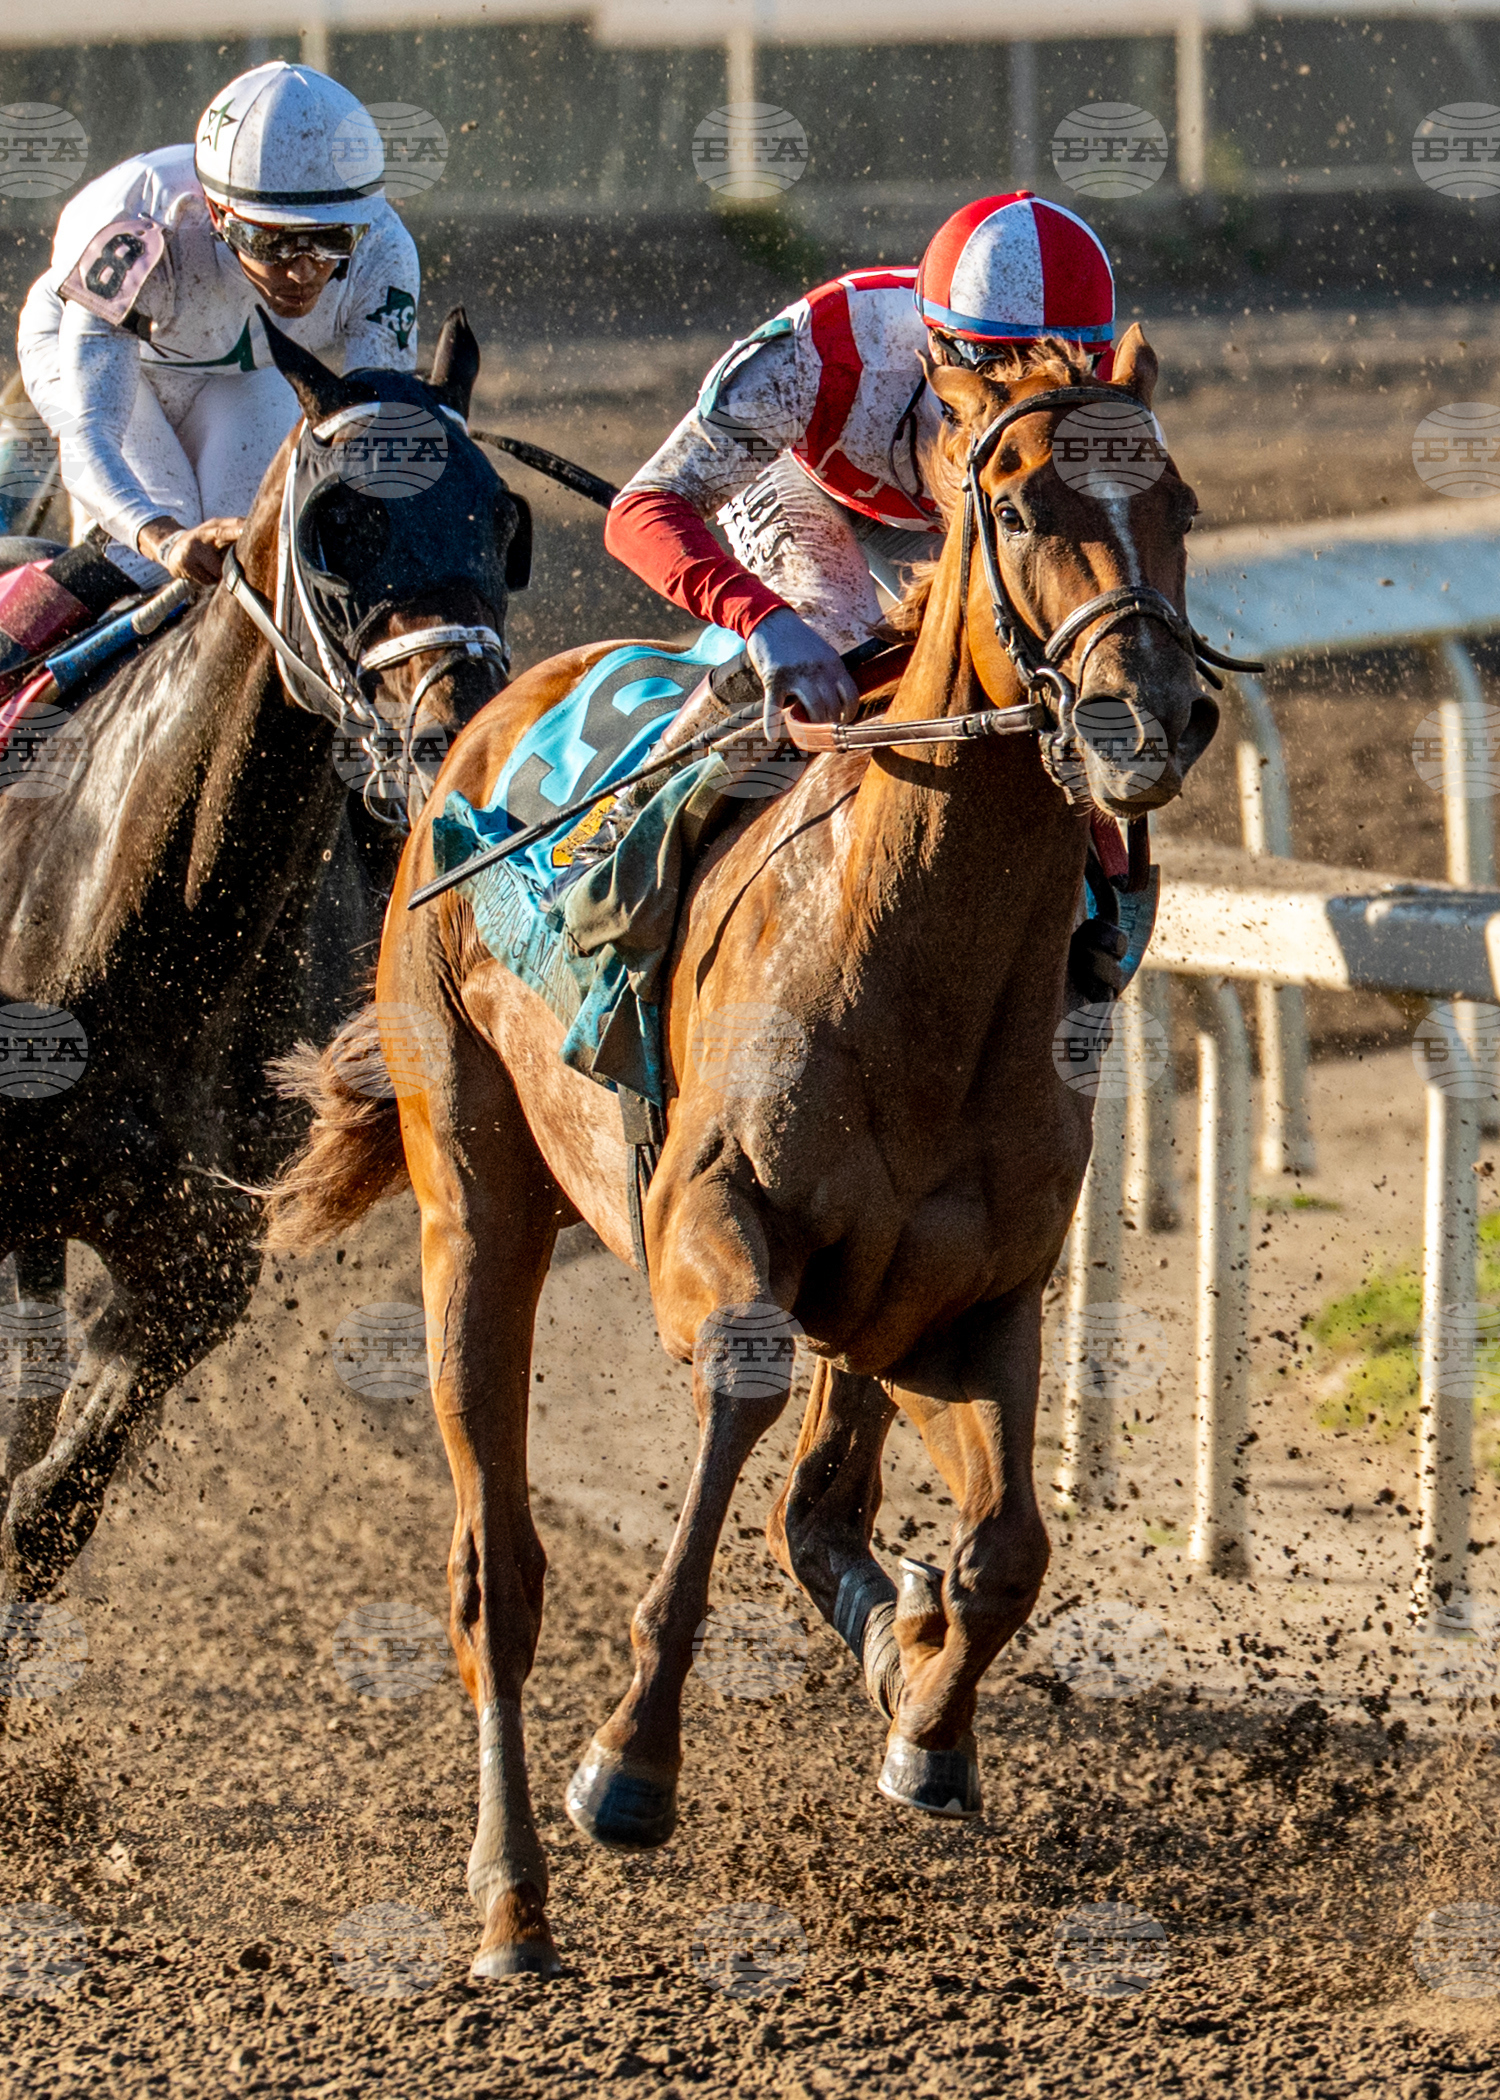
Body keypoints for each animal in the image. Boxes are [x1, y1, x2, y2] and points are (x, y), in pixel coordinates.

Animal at [265, 324, 1219, 1981]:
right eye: (1019, 505)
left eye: (1181, 503)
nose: (1151, 718)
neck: (920, 967)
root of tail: (480, 723)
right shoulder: (707, 1236)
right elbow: (745, 1405)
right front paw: (631, 1763)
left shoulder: (977, 1302)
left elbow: (1007, 1547)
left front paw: (925, 1711)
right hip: (477, 1206)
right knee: (495, 1575)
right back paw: (510, 1897)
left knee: (839, 1499)